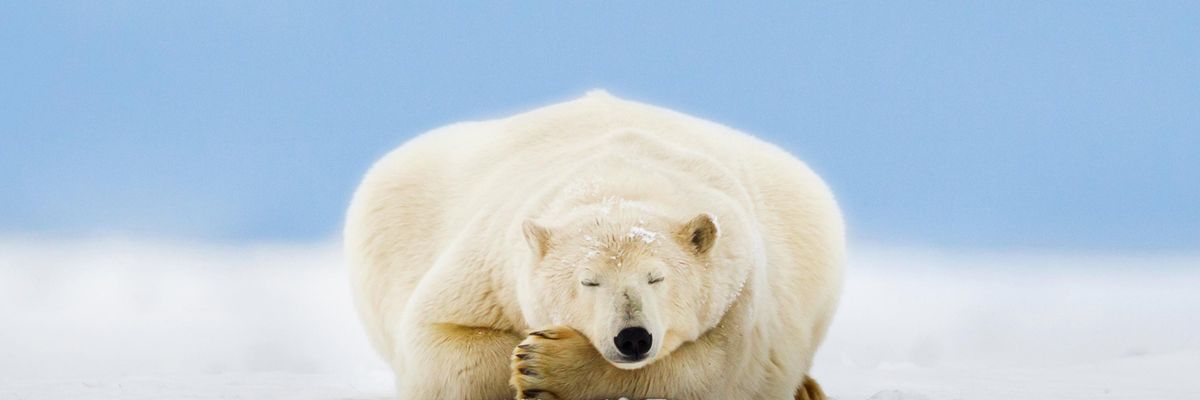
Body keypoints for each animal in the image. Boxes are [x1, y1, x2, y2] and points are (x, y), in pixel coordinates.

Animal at [344, 90, 844, 399]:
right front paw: (525, 358)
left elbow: (725, 369)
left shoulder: (742, 287)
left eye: (657, 278)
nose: (633, 337)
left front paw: (547, 365)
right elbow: (438, 339)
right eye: (589, 282)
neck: (618, 177)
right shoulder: (490, 268)